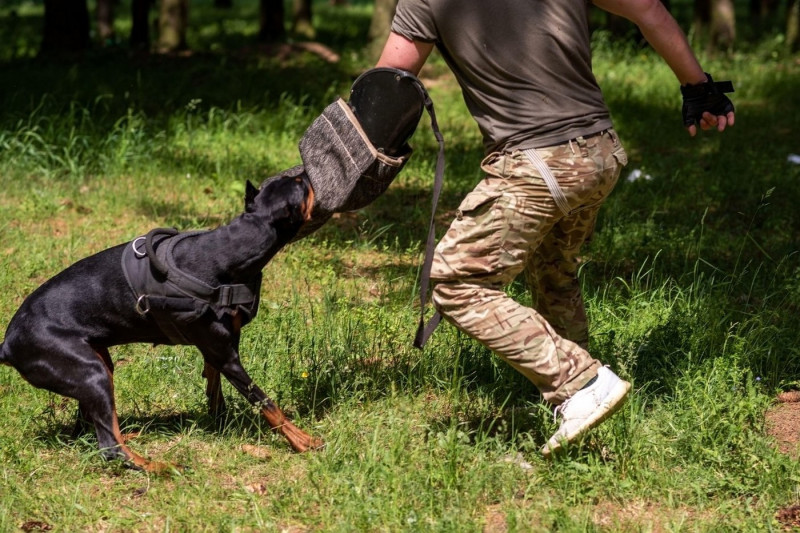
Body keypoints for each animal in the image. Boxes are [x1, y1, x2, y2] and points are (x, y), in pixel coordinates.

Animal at [0, 175, 318, 470]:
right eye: (300, 184)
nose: (305, 170)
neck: (230, 249)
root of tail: (7, 346)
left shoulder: (217, 348)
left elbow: (214, 387)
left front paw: (220, 420)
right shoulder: (227, 355)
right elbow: (266, 402)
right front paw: (302, 440)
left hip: (98, 364)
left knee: (92, 429)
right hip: (91, 372)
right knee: (110, 448)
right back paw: (161, 466)